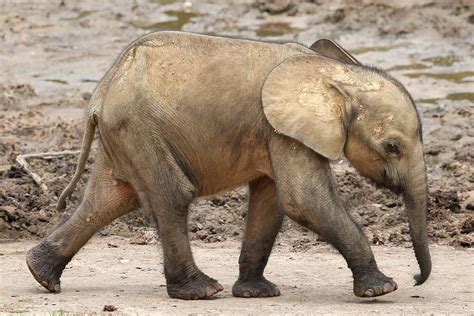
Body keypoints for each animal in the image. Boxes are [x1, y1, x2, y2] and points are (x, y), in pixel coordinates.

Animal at [27, 30, 432, 300]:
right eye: (392, 147)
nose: (416, 279)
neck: (331, 73)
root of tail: (100, 93)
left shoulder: (275, 132)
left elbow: (272, 202)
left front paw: (257, 293)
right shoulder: (281, 129)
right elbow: (304, 200)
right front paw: (383, 289)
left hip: (124, 133)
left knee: (107, 200)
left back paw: (41, 275)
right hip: (138, 127)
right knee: (171, 195)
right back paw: (201, 291)